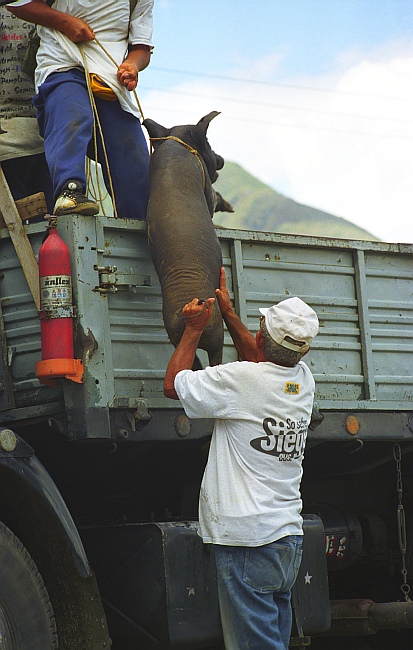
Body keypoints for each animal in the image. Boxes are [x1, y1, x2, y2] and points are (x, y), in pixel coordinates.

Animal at [142, 111, 232, 364]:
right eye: (208, 142)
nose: (221, 159)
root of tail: (189, 314)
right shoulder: (208, 189)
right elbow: (215, 198)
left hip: (174, 336)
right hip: (216, 331)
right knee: (214, 357)